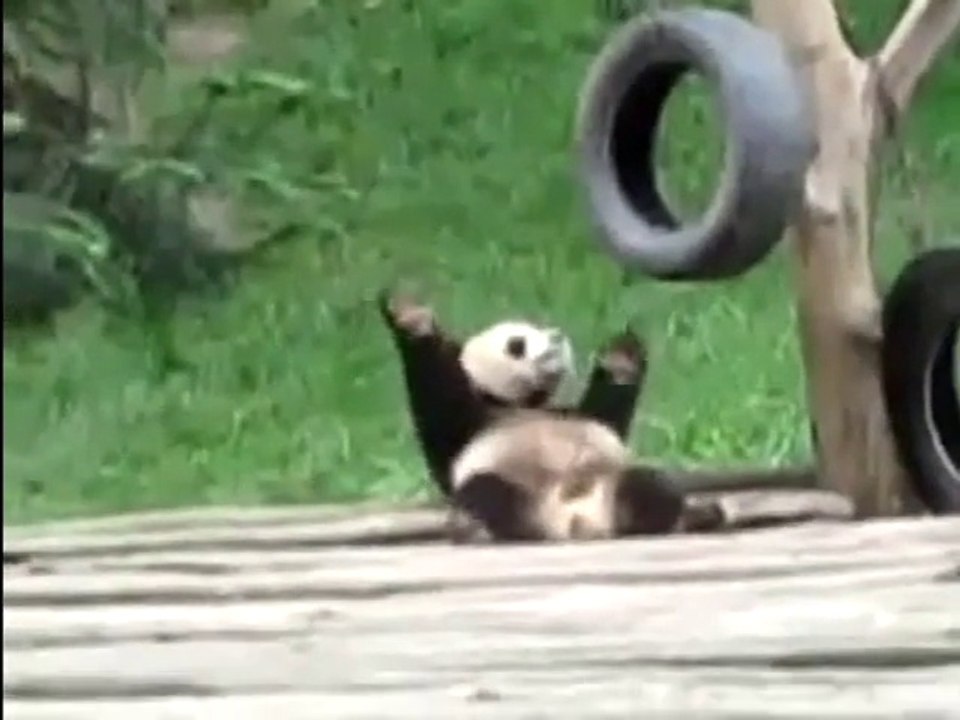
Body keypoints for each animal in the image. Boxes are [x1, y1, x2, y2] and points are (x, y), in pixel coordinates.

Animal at [379, 289, 819, 543]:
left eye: (541, 329)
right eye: (517, 343)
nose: (556, 338)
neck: (527, 405)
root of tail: (576, 519)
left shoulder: (578, 415)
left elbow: (607, 416)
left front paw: (621, 356)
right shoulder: (468, 426)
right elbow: (439, 412)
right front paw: (413, 319)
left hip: (615, 482)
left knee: (649, 483)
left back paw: (687, 515)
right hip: (512, 487)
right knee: (487, 492)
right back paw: (476, 527)